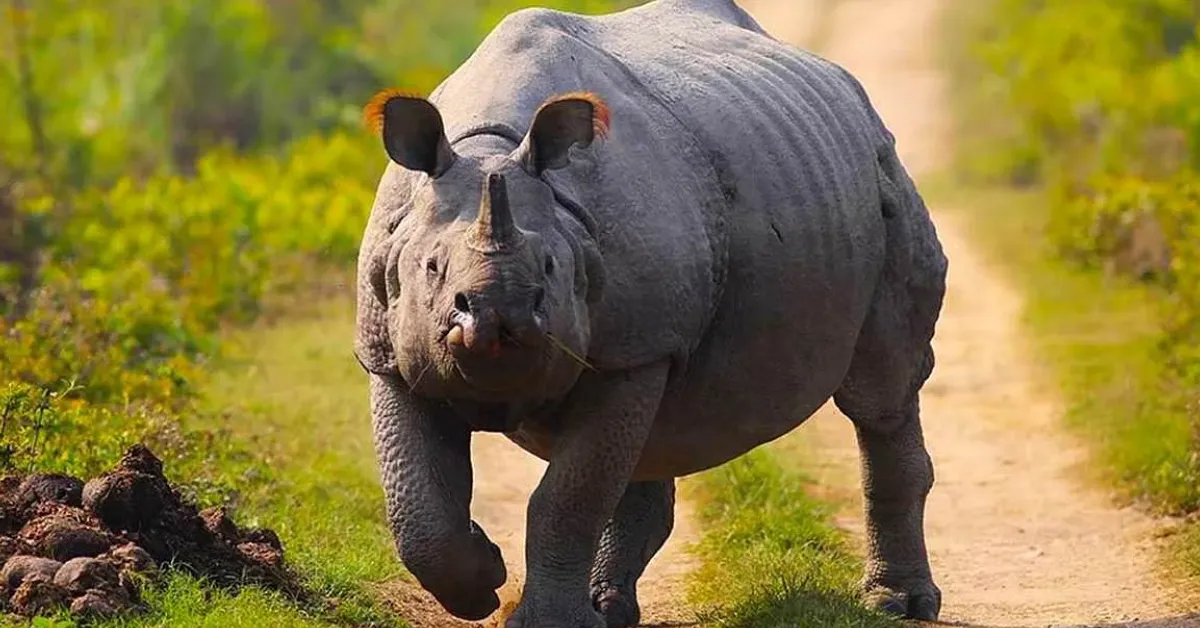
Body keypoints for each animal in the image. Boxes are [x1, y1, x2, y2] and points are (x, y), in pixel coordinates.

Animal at [354, 0, 948, 625]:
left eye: (549, 268)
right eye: (432, 268)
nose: (496, 319)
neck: (490, 146)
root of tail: (849, 91)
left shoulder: (633, 349)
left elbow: (567, 499)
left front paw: (539, 617)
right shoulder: (388, 351)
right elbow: (417, 504)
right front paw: (483, 576)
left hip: (880, 173)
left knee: (880, 395)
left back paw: (900, 604)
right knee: (654, 437)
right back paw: (609, 607)